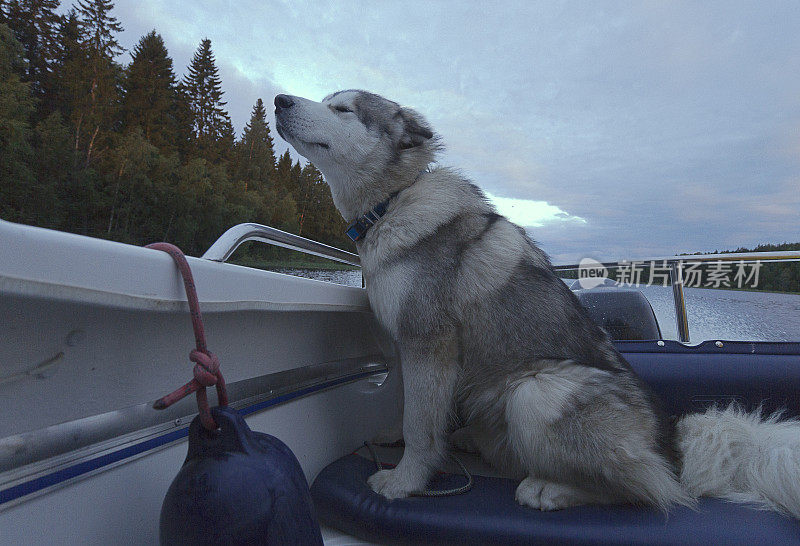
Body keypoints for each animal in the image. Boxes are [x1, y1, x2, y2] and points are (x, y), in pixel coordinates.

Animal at [276, 89, 800, 516]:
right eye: (327, 100)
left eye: (342, 109)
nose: (280, 99)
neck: (391, 203)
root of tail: (672, 446)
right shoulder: (410, 344)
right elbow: (412, 406)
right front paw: (396, 438)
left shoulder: (429, 341)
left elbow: (422, 426)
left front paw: (405, 481)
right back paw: (472, 440)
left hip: (537, 392)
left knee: (649, 490)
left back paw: (550, 489)